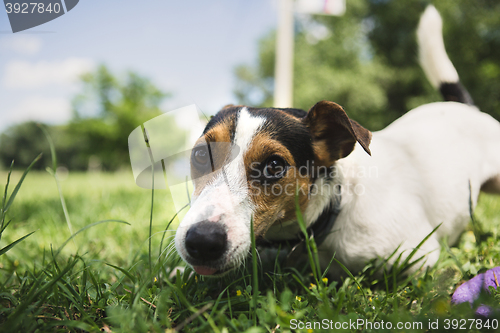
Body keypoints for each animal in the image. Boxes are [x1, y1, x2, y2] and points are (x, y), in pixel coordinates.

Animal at [175, 6, 500, 278]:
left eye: (274, 166)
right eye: (201, 155)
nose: (201, 241)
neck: (335, 206)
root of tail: (464, 107)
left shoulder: (420, 259)